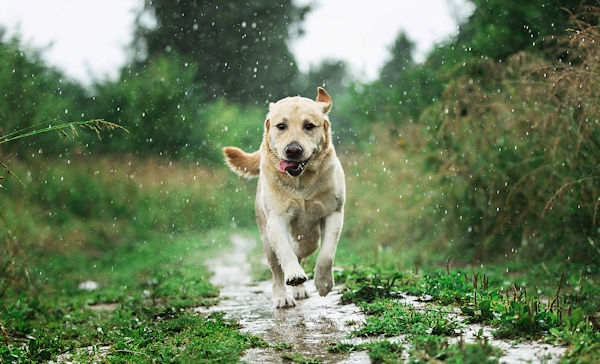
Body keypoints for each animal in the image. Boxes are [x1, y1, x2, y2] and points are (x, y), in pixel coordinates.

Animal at [223, 87, 344, 308]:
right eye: (281, 126)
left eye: (309, 126)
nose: (293, 150)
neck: (301, 182)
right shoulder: (277, 219)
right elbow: (286, 252)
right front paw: (295, 275)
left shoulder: (334, 213)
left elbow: (327, 254)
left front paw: (323, 283)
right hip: (266, 239)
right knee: (276, 270)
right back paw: (283, 296)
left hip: (311, 235)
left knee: (306, 246)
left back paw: (300, 288)